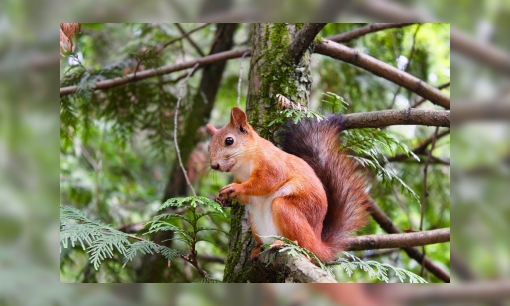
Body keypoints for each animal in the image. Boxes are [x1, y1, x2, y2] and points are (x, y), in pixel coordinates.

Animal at [206, 106, 370, 262]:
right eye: (208, 147)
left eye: (229, 141)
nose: (214, 165)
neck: (244, 165)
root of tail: (318, 245)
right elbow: (248, 197)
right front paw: (222, 197)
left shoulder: (272, 165)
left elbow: (265, 182)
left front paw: (236, 188)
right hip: (256, 222)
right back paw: (258, 249)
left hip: (288, 211)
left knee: (303, 245)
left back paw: (286, 244)